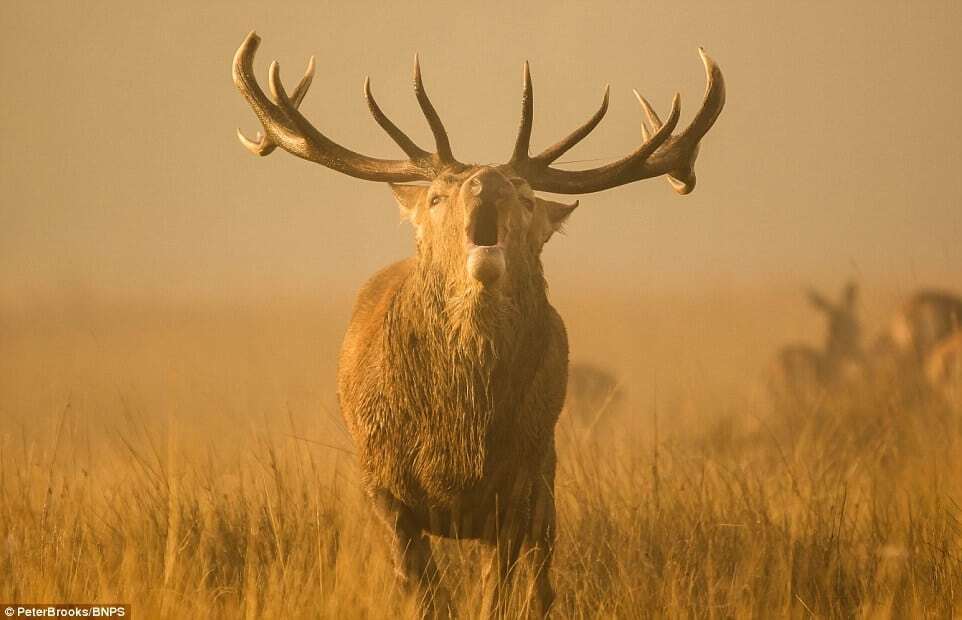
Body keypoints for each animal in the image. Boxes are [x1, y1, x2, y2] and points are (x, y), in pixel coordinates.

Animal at [232, 32, 724, 616]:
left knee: (542, 581)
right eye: (438, 195)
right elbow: (422, 589)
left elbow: (499, 591)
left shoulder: (519, 484)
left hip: (548, 481)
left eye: (528, 197)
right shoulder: (380, 480)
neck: (460, 436)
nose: (487, 181)